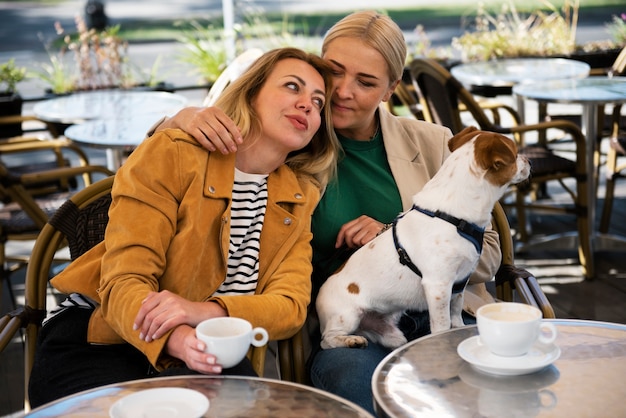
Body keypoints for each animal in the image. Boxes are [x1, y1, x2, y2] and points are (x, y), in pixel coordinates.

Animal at [316, 125, 528, 348]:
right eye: (515, 154)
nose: (528, 160)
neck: (454, 217)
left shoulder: (459, 284)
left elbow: (456, 312)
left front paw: (459, 328)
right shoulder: (438, 286)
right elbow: (442, 324)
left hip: (392, 333)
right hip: (347, 316)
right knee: (327, 340)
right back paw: (350, 340)